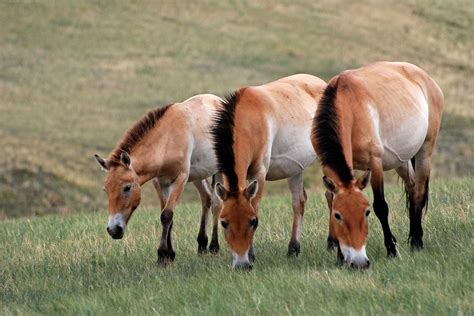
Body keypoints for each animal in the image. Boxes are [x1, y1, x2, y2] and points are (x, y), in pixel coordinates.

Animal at [94, 94, 224, 262]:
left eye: (127, 188)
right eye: (106, 190)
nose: (113, 230)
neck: (168, 139)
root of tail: (218, 101)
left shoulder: (180, 179)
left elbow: (167, 215)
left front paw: (162, 255)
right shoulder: (160, 182)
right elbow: (167, 216)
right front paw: (169, 254)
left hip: (219, 171)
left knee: (216, 204)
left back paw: (214, 247)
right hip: (198, 176)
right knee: (206, 198)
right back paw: (202, 245)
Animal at [211, 74, 326, 270]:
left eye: (253, 221)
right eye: (224, 223)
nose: (242, 265)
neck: (248, 119)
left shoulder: (260, 173)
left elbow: (255, 204)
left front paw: (251, 255)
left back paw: (332, 244)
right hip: (295, 170)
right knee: (299, 202)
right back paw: (293, 249)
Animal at [312, 61, 444, 266]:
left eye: (366, 213)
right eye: (338, 215)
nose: (358, 262)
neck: (348, 104)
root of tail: (425, 77)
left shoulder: (375, 163)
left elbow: (381, 207)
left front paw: (391, 250)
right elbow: (331, 199)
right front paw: (340, 258)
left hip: (425, 152)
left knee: (419, 193)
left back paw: (416, 242)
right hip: (401, 160)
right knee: (412, 188)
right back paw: (412, 237)